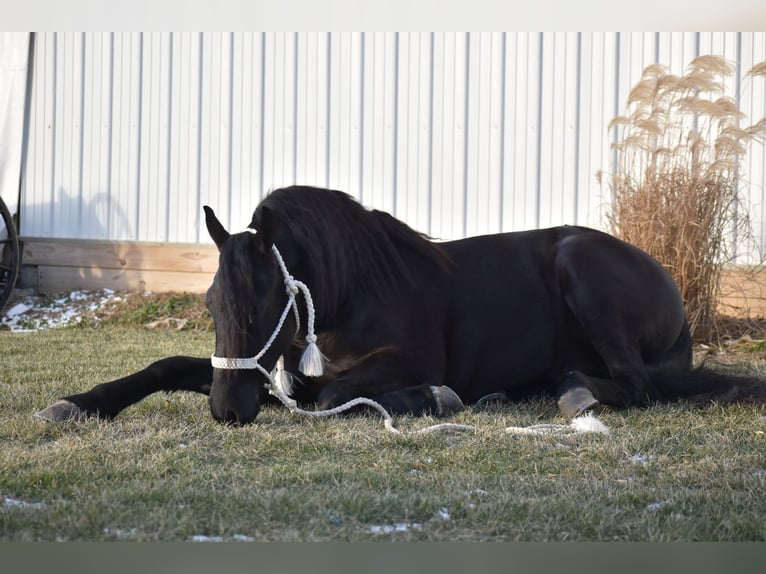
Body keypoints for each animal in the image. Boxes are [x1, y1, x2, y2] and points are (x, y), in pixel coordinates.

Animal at [37, 187, 766, 426]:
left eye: (268, 299)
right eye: (213, 302)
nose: (227, 410)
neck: (352, 293)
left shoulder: (405, 359)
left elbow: (334, 396)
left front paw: (434, 398)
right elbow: (164, 366)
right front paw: (76, 404)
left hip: (584, 274)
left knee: (637, 387)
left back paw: (573, 391)